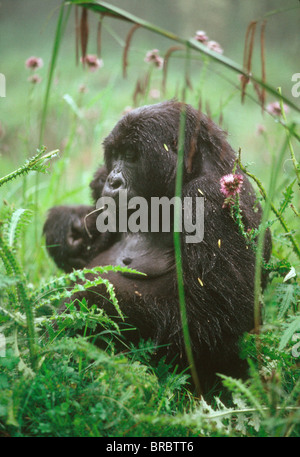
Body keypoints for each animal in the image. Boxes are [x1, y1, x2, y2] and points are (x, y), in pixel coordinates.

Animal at [44, 100, 272, 392]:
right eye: (115, 155)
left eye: (131, 155)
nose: (113, 181)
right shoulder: (99, 179)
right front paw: (64, 229)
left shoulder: (209, 201)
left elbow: (210, 321)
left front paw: (92, 301)